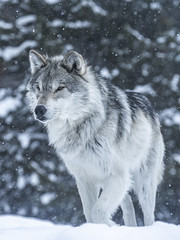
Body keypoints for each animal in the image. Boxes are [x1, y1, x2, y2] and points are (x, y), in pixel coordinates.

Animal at [26, 49, 165, 226]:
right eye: (38, 88)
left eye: (60, 88)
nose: (39, 110)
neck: (81, 128)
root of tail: (149, 105)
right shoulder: (84, 179)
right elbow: (89, 213)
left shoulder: (117, 176)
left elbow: (97, 211)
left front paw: (110, 226)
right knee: (128, 204)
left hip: (143, 183)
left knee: (149, 215)